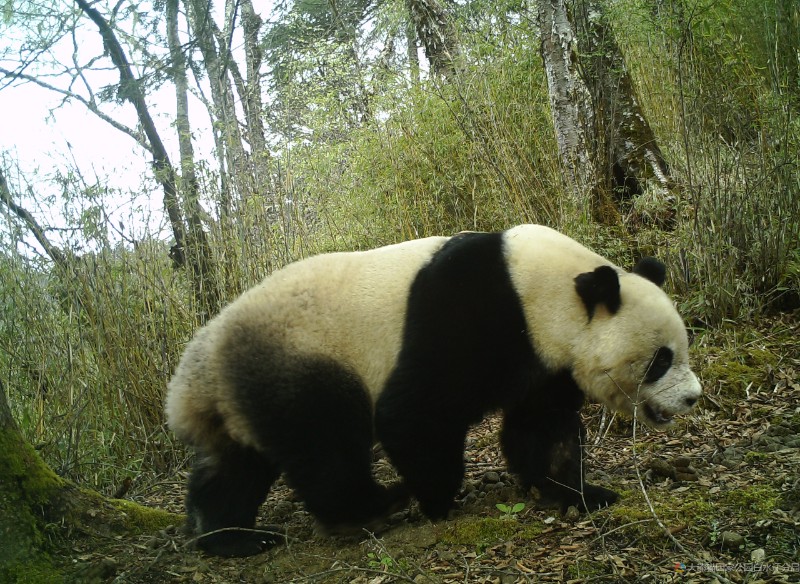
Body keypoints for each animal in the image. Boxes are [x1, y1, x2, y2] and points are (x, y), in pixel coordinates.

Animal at [167, 224, 700, 556]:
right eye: (662, 359)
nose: (692, 397)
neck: (546, 292)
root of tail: (196, 376)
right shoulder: (468, 311)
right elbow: (413, 412)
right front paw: (439, 500)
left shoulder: (547, 361)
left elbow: (542, 426)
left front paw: (578, 491)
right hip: (299, 358)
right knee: (328, 439)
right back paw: (373, 508)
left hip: (246, 392)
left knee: (236, 466)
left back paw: (230, 537)